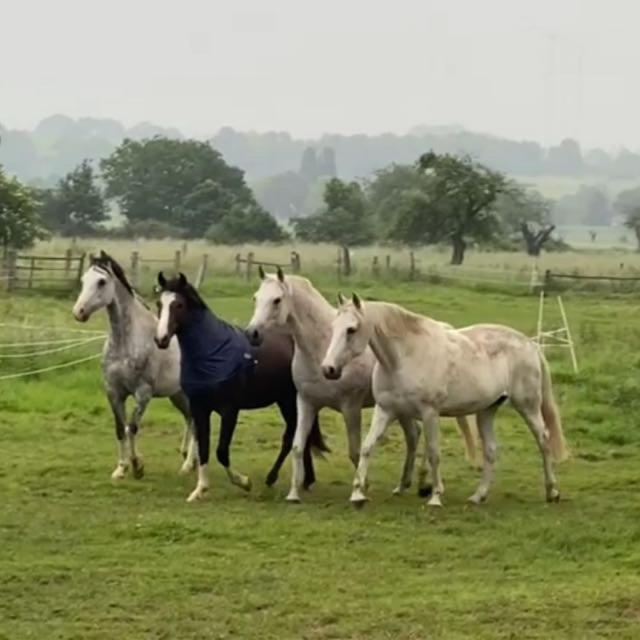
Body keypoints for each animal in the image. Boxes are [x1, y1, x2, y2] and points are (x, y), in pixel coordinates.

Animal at [72, 251, 196, 479]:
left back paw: (188, 464)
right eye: (84, 280)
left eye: (102, 281)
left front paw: (137, 466)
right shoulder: (113, 392)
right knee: (191, 420)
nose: (79, 312)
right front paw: (121, 469)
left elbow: (133, 426)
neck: (127, 342)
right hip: (178, 395)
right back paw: (189, 460)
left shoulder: (143, 393)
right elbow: (121, 429)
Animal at [154, 272, 328, 502]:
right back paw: (307, 480)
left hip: (290, 401)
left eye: (179, 305)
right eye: (159, 303)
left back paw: (273, 477)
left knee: (290, 436)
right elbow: (204, 448)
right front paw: (199, 490)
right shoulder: (200, 409)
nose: (161, 339)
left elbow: (221, 451)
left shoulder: (229, 411)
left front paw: (244, 482)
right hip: (288, 401)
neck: (213, 353)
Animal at [245, 267, 477, 503]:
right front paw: (294, 493)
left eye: (276, 300)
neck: (322, 348)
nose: (252, 333)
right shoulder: (306, 402)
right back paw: (404, 484)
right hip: (401, 409)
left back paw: (424, 485)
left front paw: (362, 487)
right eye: (255, 297)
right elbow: (298, 446)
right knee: (414, 435)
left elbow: (355, 451)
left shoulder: (350, 407)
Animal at [321, 294, 568, 507]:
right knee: (490, 450)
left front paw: (435, 496)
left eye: (351, 329)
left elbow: (433, 453)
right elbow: (367, 447)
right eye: (333, 327)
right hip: (487, 410)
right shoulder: (386, 410)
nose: (328, 369)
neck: (405, 357)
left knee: (544, 441)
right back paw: (478, 496)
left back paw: (552, 492)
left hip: (527, 406)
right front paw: (357, 494)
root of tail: (530, 344)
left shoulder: (430, 413)